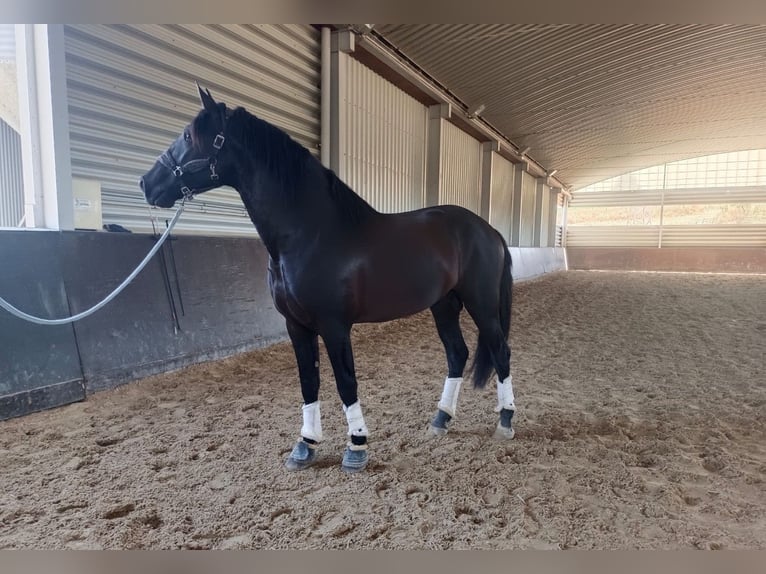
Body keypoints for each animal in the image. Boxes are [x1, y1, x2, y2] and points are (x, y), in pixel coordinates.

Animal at [139, 85, 518, 473]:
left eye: (188, 136)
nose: (146, 183)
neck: (310, 234)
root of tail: (489, 231)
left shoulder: (334, 326)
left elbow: (345, 382)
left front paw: (357, 446)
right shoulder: (296, 325)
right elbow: (309, 381)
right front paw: (305, 445)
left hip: (481, 303)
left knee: (500, 351)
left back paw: (505, 421)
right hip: (443, 305)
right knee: (457, 353)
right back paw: (441, 419)